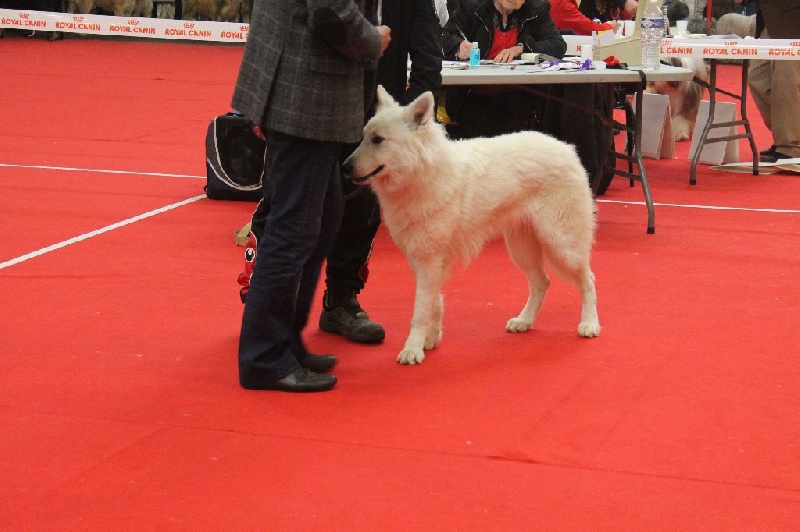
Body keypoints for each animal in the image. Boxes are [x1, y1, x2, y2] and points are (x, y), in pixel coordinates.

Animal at [344, 87, 600, 366]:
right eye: (364, 137)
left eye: (378, 140)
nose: (345, 168)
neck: (423, 173)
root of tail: (566, 147)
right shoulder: (424, 260)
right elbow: (434, 302)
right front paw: (430, 340)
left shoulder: (428, 261)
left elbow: (420, 310)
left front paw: (413, 349)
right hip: (522, 248)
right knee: (542, 283)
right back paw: (524, 321)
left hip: (563, 244)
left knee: (587, 280)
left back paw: (589, 324)